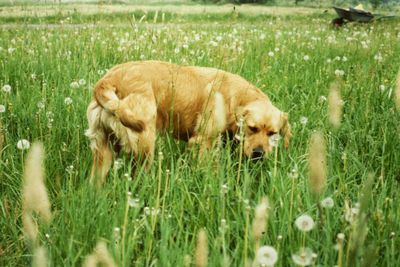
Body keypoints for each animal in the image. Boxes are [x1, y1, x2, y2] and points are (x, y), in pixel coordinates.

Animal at [86, 60, 290, 186]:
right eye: (252, 128)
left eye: (272, 133)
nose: (258, 154)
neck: (235, 96)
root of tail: (108, 79)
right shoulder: (202, 141)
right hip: (145, 145)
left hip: (103, 150)